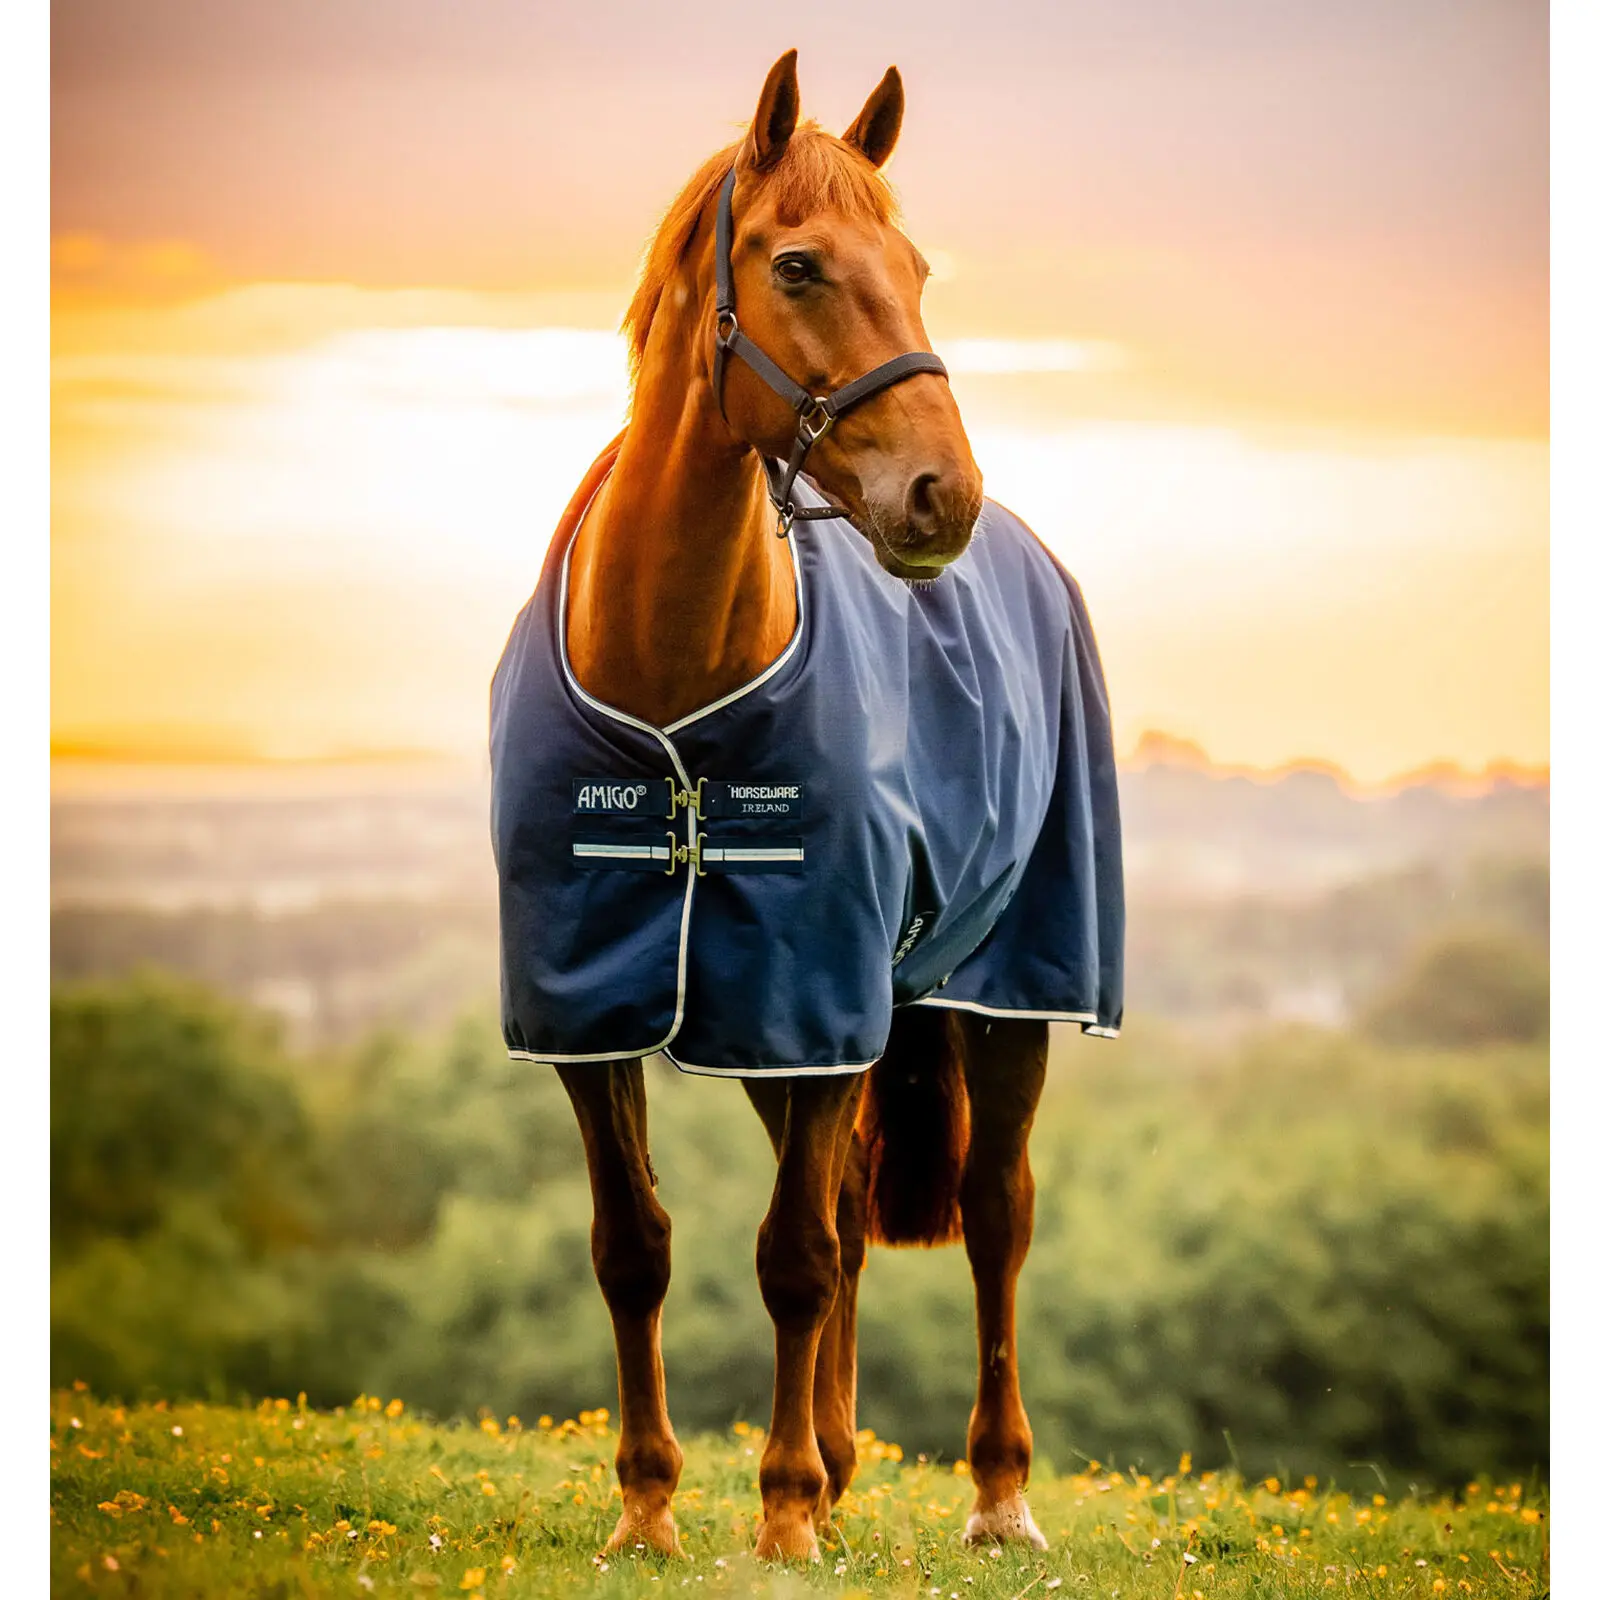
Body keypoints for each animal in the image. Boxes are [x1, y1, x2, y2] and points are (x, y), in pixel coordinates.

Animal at [489, 50, 1123, 1563]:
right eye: (797, 264)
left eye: (918, 265)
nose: (941, 495)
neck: (673, 685)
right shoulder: (603, 1008)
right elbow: (636, 1247)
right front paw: (651, 1511)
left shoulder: (819, 990)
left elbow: (794, 1256)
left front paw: (777, 1517)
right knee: (836, 1202)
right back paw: (835, 1464)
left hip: (999, 992)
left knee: (993, 1213)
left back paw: (994, 1493)